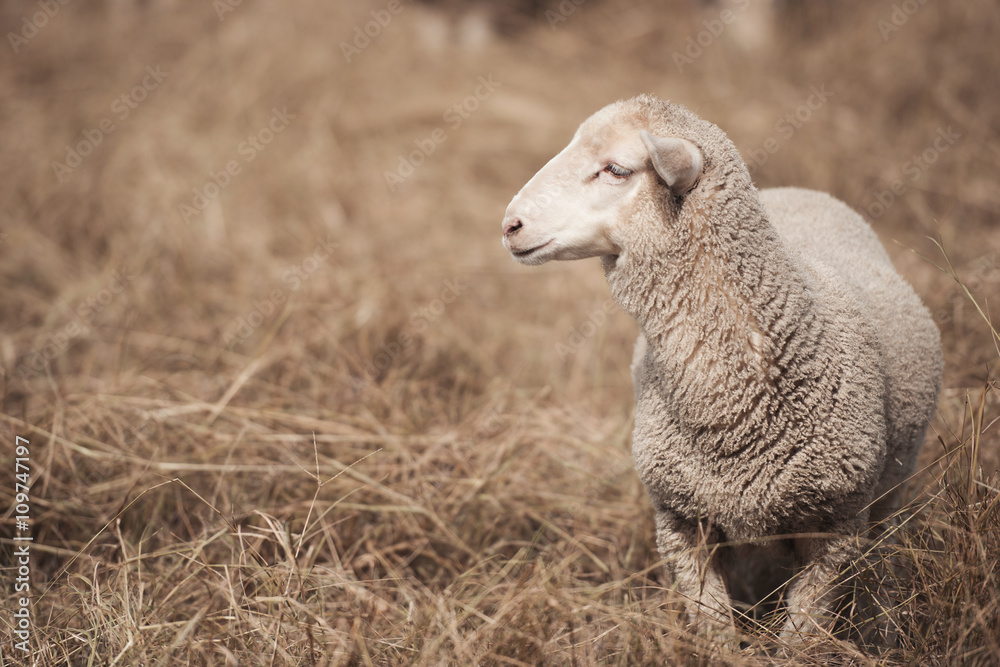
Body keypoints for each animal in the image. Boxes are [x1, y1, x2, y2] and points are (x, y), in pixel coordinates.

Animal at [500, 94, 942, 640]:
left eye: (616, 169)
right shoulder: (680, 519)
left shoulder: (838, 527)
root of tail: (802, 189)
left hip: (888, 495)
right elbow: (713, 629)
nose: (509, 225)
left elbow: (802, 636)